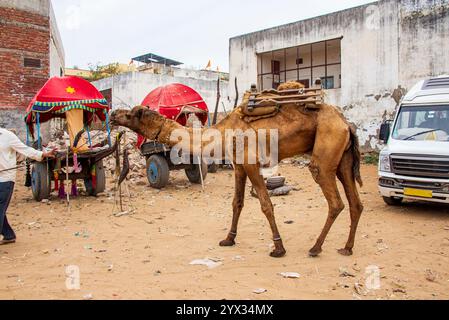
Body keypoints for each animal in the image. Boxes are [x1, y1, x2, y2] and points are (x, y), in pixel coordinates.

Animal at [109, 82, 364, 258]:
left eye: (130, 114)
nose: (112, 114)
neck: (223, 132)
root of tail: (346, 123)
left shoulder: (251, 162)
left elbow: (266, 204)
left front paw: (278, 248)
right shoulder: (238, 165)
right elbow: (237, 203)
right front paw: (228, 239)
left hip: (326, 151)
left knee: (335, 200)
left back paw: (316, 247)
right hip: (343, 159)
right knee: (355, 203)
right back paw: (347, 248)